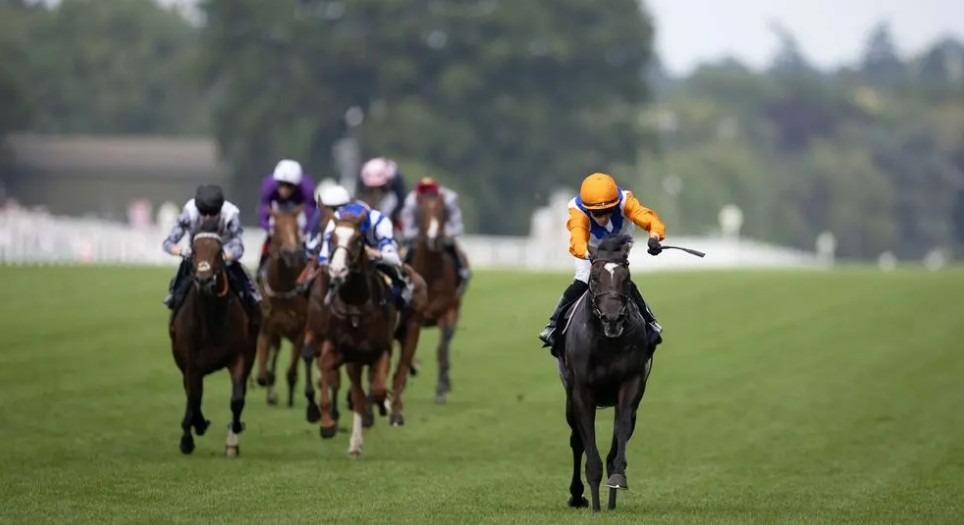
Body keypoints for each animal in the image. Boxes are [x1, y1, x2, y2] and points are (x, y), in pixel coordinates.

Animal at [169, 217, 258, 457]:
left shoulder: (241, 356)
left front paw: (233, 438)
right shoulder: (191, 363)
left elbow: (237, 399)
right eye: (194, 250)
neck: (211, 318)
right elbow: (194, 397)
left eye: (219, 251)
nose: (204, 280)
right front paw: (188, 437)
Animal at [254, 203, 308, 407]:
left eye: (297, 227)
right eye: (275, 228)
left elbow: (292, 372)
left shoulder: (301, 330)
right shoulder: (267, 328)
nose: (291, 254)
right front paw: (271, 392)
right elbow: (263, 375)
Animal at [314, 209, 425, 457]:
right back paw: (356, 441)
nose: (337, 270)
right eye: (331, 238)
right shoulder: (342, 350)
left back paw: (394, 412)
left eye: (357, 239)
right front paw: (327, 424)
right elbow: (328, 371)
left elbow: (378, 389)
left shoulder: (382, 349)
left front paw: (384, 405)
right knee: (360, 392)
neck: (357, 305)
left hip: (412, 329)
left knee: (401, 371)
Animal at [407, 190, 464, 404]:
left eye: (442, 211)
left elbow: (442, 349)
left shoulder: (447, 312)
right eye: (421, 211)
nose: (433, 238)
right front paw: (413, 367)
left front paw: (440, 390)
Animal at [558, 234, 656, 512]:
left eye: (627, 278)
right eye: (594, 278)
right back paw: (577, 495)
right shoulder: (581, 391)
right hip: (568, 397)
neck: (606, 342)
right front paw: (593, 501)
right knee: (576, 439)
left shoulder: (631, 384)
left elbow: (621, 429)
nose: (613, 319)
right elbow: (586, 438)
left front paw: (617, 479)